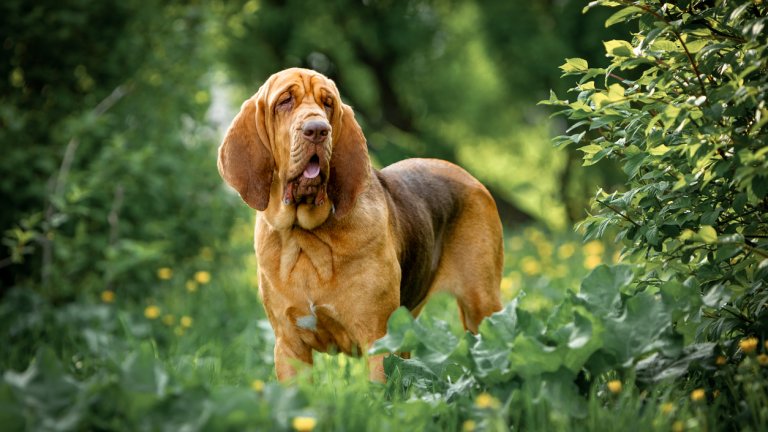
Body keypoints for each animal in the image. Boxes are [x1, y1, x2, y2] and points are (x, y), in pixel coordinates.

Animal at [216, 68, 504, 382]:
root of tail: (470, 178)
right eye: (284, 101)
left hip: (481, 306)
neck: (306, 237)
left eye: (328, 103)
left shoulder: (378, 339)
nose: (317, 130)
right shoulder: (289, 346)